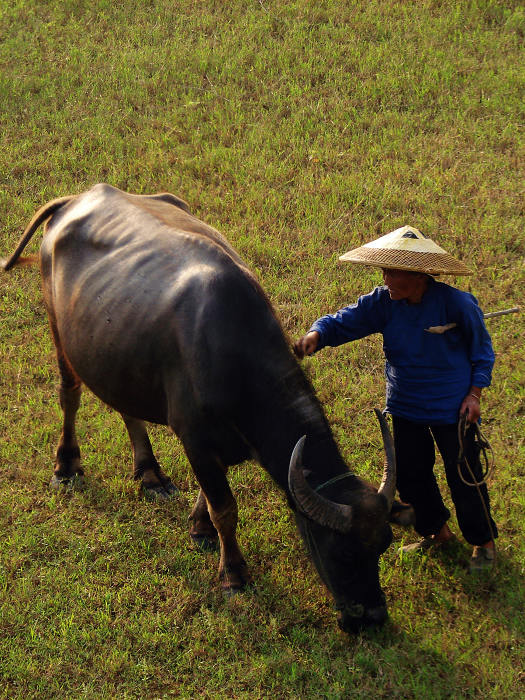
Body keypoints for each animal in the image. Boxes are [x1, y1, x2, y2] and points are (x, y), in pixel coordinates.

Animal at [3, 183, 398, 632]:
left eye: (384, 543)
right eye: (344, 550)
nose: (373, 616)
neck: (236, 357)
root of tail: (76, 198)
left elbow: (211, 496)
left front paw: (200, 526)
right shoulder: (194, 438)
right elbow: (225, 507)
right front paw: (233, 573)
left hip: (118, 350)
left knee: (126, 406)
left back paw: (151, 474)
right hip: (59, 329)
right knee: (69, 393)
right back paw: (67, 466)